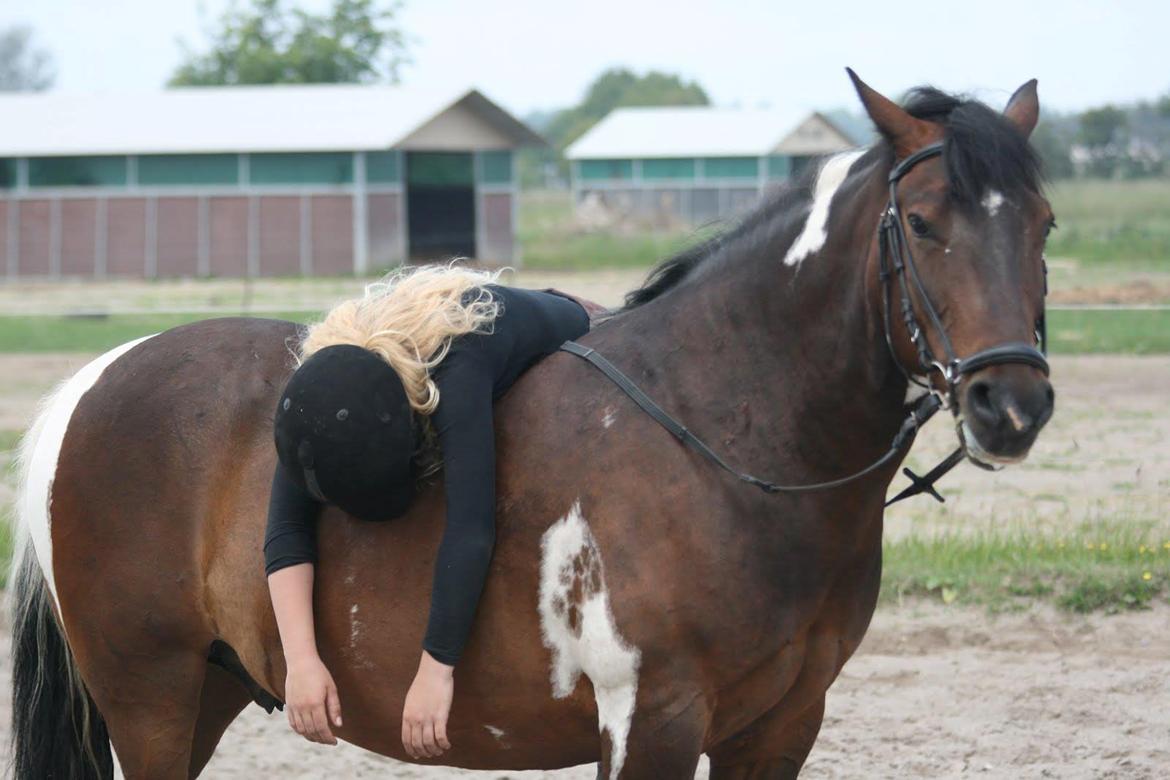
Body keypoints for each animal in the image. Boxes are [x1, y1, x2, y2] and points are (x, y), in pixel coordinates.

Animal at [9, 71, 1055, 779]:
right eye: (921, 222)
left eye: (1042, 223)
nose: (1011, 404)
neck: (724, 437)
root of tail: (95, 381)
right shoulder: (653, 717)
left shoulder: (782, 726)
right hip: (151, 697)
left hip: (209, 692)